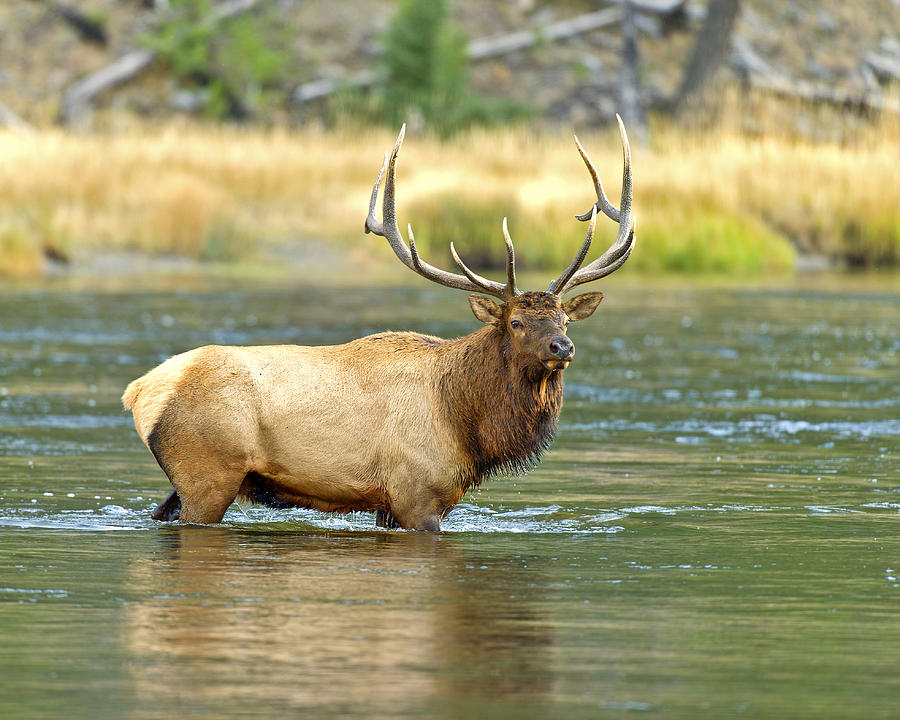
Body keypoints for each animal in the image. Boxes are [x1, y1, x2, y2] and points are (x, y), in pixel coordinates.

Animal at [123, 116, 636, 528]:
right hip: (207, 471)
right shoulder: (417, 493)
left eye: (564, 319)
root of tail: (140, 390)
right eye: (515, 322)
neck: (465, 423)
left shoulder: (389, 505)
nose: (561, 348)